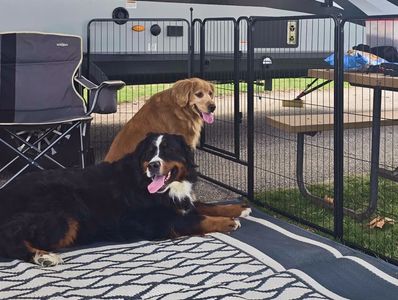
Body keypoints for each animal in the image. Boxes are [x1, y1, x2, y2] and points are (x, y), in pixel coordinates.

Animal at [0, 132, 249, 266]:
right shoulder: (157, 220)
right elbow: (198, 218)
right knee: (9, 239)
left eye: (168, 151)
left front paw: (239, 208)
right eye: (149, 153)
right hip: (63, 215)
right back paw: (43, 256)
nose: (153, 165)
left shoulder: (180, 202)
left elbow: (206, 206)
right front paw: (229, 222)